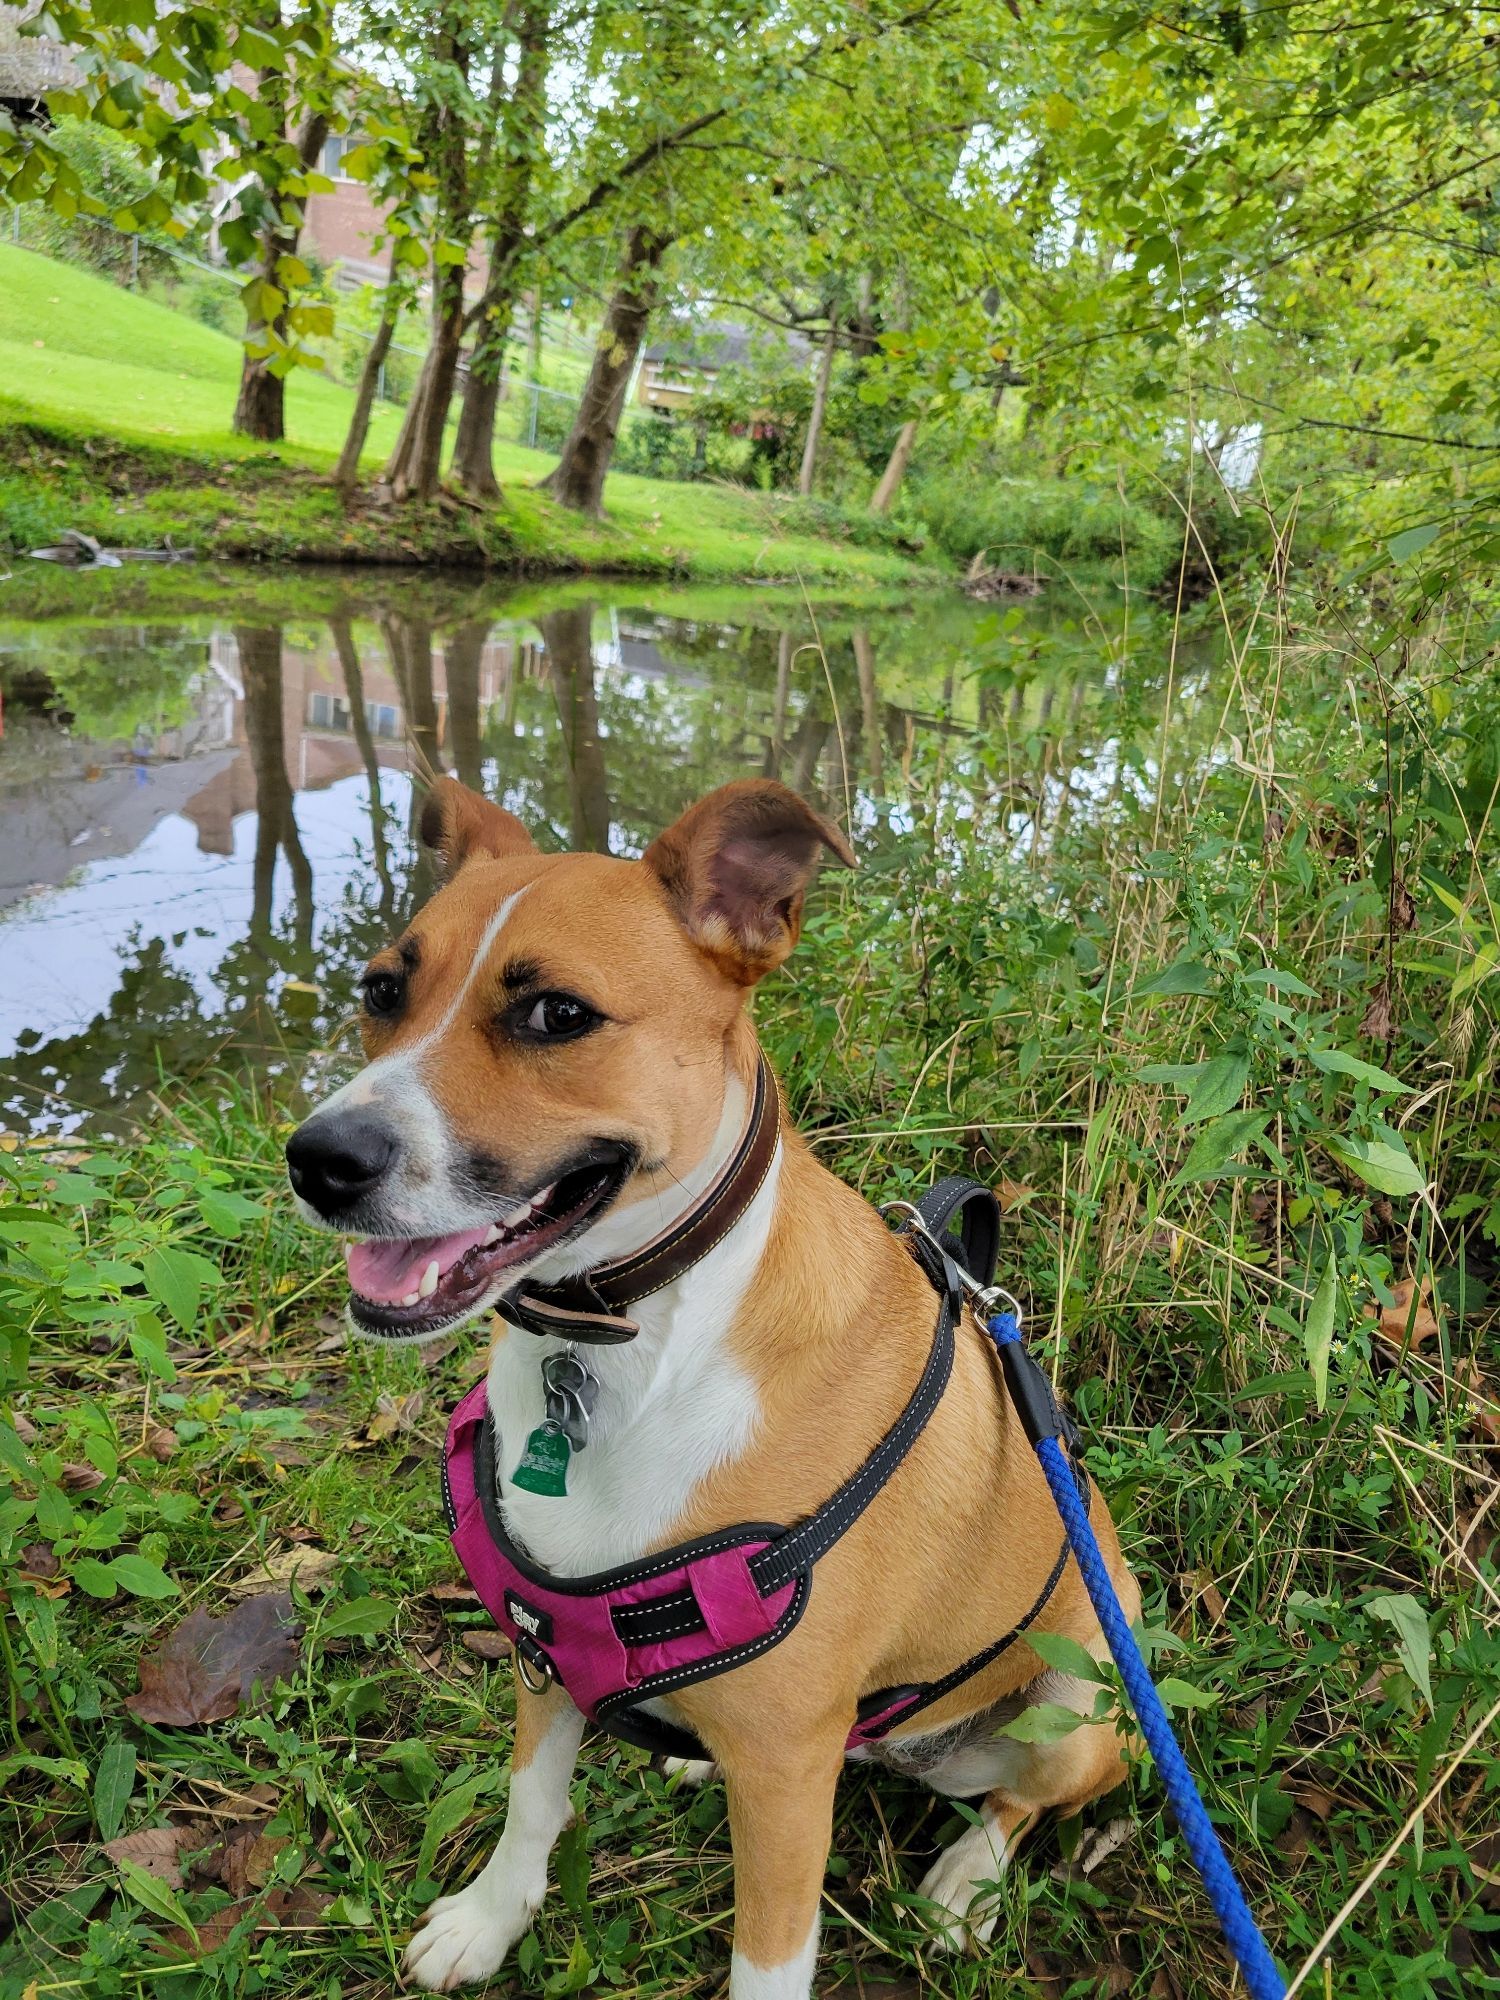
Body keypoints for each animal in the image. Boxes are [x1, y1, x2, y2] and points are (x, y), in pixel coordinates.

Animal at [284, 776, 1136, 2000]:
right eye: (381, 990)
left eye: (556, 1015)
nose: (318, 1159)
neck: (621, 1348)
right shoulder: (546, 1649)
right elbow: (531, 1803)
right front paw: (489, 1920)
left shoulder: (784, 1770)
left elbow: (768, 1957)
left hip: (1079, 1706)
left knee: (1019, 1802)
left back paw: (965, 1880)